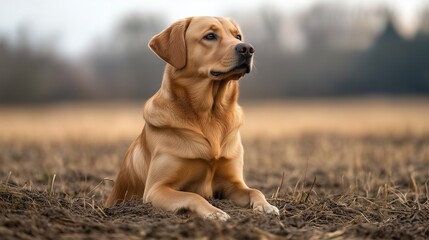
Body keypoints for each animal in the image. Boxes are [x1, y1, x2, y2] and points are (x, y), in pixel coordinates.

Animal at [105, 15, 280, 220]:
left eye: (237, 36)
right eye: (210, 36)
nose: (247, 48)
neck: (210, 114)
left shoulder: (232, 183)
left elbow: (255, 190)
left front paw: (266, 206)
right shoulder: (156, 188)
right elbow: (193, 195)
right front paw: (215, 212)